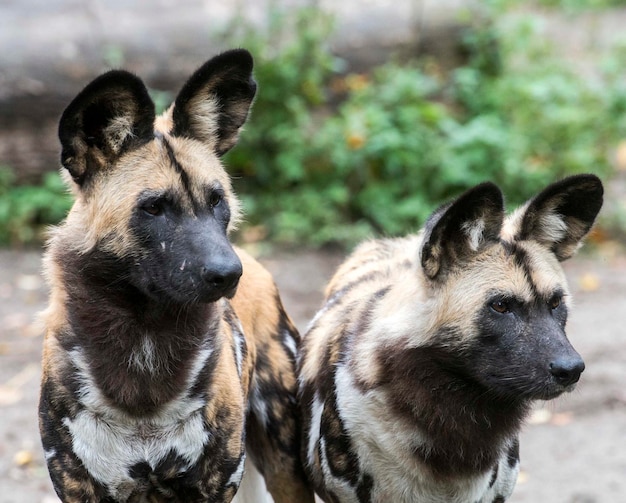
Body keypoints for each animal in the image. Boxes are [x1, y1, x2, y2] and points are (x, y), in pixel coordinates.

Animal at [37, 48, 312, 503]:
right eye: (153, 208)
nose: (228, 273)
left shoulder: (212, 485)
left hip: (285, 467)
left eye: (217, 201)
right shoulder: (80, 486)